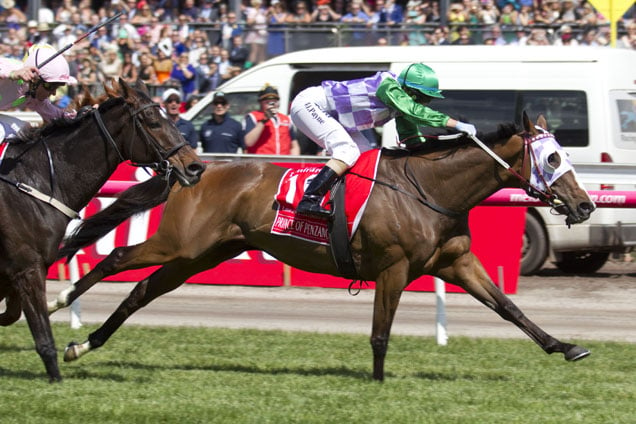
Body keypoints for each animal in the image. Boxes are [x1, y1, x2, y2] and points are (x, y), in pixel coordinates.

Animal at [0, 78, 204, 380]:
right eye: (153, 121)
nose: (195, 166)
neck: (35, 180)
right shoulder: (27, 268)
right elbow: (42, 337)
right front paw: (56, 379)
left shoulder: (20, 270)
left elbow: (13, 314)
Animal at [52, 112, 592, 380]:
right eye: (552, 157)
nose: (585, 205)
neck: (429, 189)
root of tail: (191, 169)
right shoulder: (394, 268)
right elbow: (380, 333)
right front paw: (377, 382)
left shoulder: (457, 262)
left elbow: (509, 309)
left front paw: (566, 346)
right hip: (178, 243)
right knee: (116, 258)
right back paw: (60, 300)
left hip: (199, 255)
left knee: (141, 292)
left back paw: (83, 345)